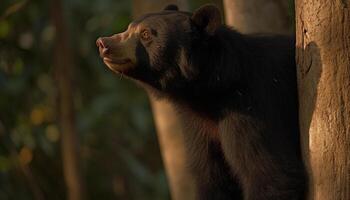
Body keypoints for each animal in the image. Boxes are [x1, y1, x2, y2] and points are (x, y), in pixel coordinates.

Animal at [95, 3, 306, 200]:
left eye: (145, 34)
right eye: (129, 27)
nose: (103, 43)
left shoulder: (252, 104)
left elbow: (269, 172)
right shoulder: (197, 124)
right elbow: (212, 177)